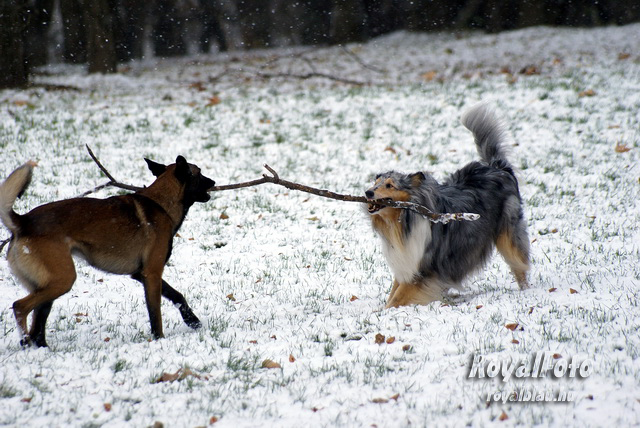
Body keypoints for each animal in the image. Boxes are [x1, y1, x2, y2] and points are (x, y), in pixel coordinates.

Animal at [0, 155, 215, 347]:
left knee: (38, 322)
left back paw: (41, 348)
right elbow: (156, 314)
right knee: (20, 307)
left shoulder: (142, 274)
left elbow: (177, 296)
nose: (213, 181)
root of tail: (23, 222)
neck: (161, 204)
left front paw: (193, 321)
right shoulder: (152, 274)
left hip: (50, 283)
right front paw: (159, 339)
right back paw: (26, 342)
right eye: (199, 173)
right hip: (63, 279)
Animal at [365, 104, 530, 308]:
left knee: (519, 265)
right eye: (375, 183)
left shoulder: (425, 269)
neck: (403, 223)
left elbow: (396, 298)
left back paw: (525, 291)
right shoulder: (407, 263)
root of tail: (497, 167)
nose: (368, 193)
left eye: (389, 185)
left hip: (508, 233)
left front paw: (385, 313)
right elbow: (393, 293)